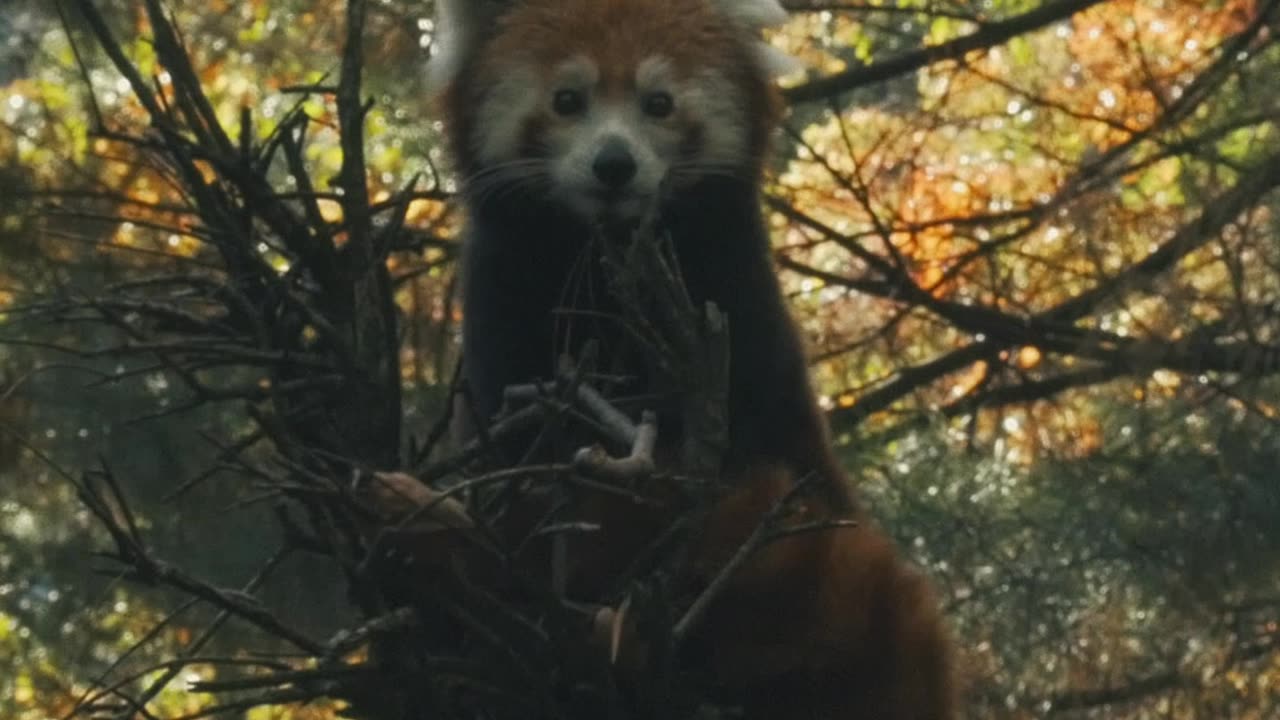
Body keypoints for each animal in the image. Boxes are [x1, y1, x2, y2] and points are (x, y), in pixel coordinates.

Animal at [430, 1, 962, 712]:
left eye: (659, 102)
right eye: (568, 99)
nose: (614, 164)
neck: (609, 261)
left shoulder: (742, 314)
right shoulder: (504, 313)